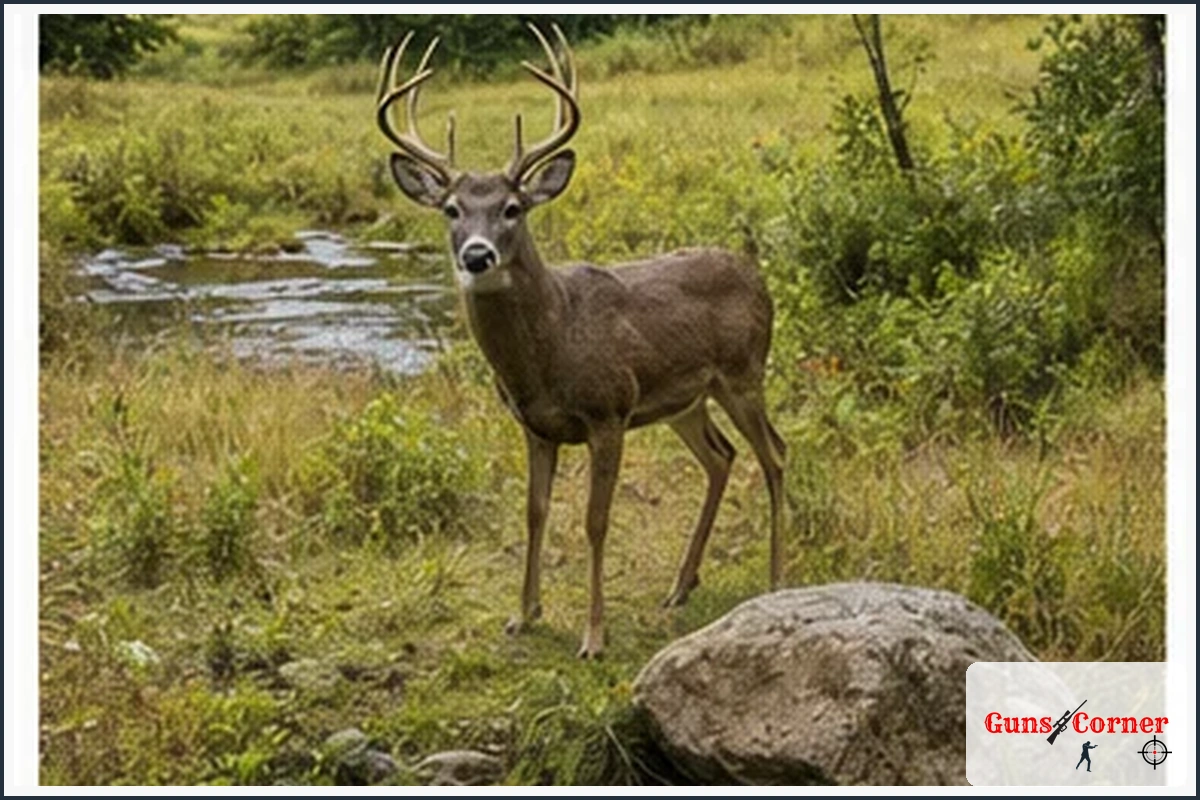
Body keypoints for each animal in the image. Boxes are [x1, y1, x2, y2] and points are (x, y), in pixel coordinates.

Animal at [376, 24, 786, 659]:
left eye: (512, 208)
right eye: (450, 209)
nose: (477, 256)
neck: (550, 351)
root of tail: (757, 275)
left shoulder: (608, 410)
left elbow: (596, 520)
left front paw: (593, 636)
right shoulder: (534, 425)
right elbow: (534, 511)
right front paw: (523, 614)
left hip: (744, 372)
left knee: (775, 456)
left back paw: (775, 580)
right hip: (684, 402)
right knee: (722, 457)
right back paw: (680, 587)